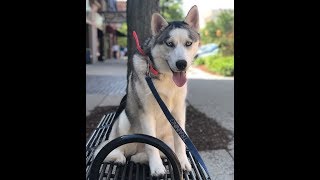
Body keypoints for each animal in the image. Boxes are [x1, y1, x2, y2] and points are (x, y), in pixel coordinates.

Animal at [94, 5, 200, 176]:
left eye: (188, 43)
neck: (165, 77)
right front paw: (157, 166)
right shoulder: (146, 112)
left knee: (154, 151)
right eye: (170, 43)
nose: (181, 64)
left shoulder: (178, 111)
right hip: (124, 120)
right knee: (116, 150)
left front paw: (183, 161)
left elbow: (180, 140)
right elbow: (151, 144)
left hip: (166, 138)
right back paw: (120, 157)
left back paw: (140, 158)